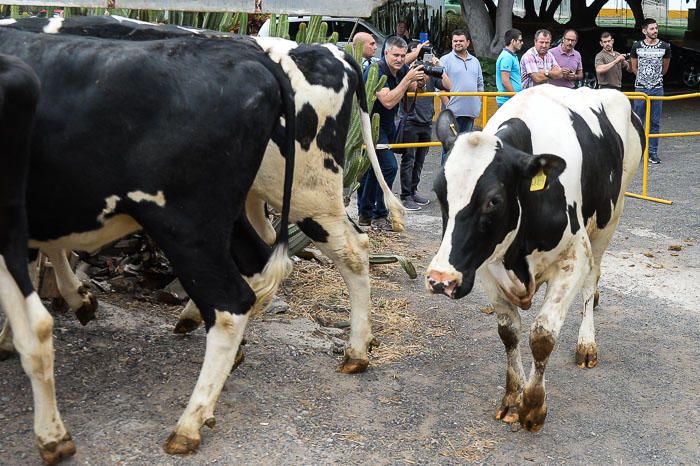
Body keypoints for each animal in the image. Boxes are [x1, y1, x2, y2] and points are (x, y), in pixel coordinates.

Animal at [0, 28, 296, 462]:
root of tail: (248, 54)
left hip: (187, 227)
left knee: (230, 303)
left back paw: (188, 424)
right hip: (223, 222)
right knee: (257, 267)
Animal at [4, 15, 404, 374]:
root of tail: (328, 51)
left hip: (306, 192)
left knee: (350, 250)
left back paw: (355, 352)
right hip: (251, 199)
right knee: (269, 250)